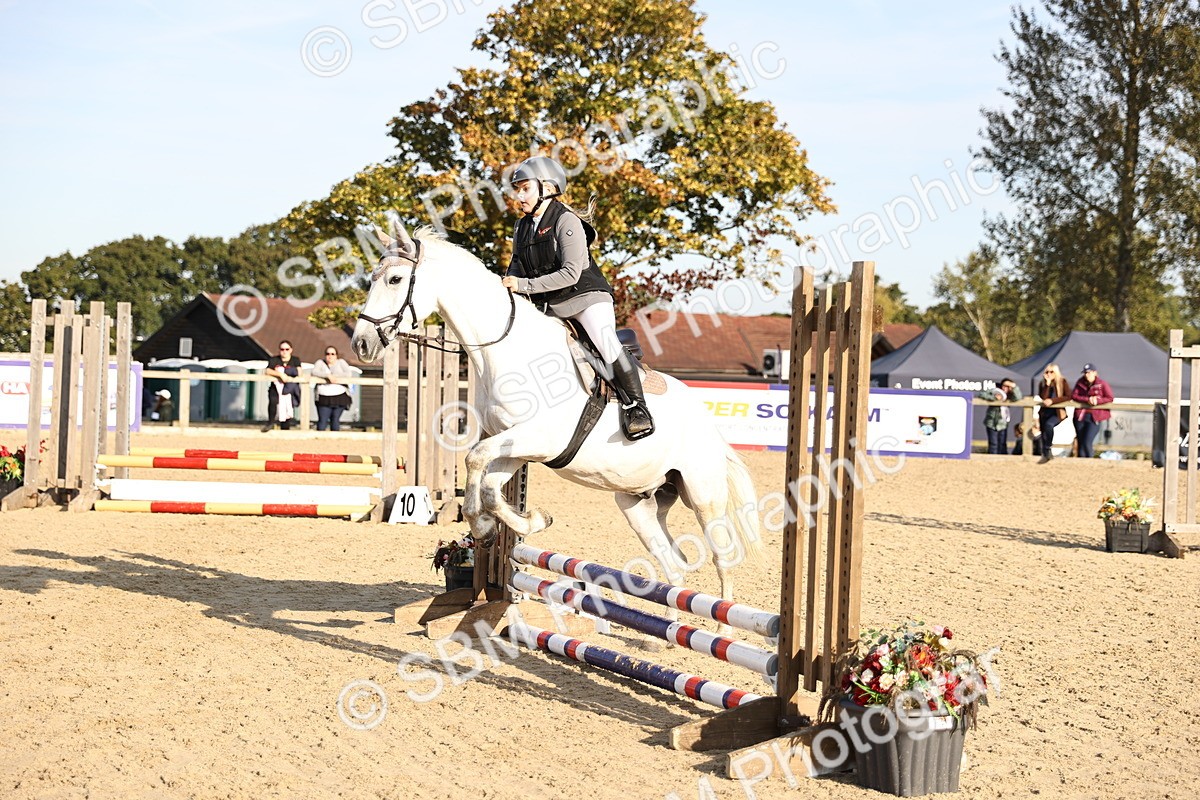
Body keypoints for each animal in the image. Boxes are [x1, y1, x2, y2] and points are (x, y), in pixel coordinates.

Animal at [351, 219, 762, 623]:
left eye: (395, 280)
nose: (361, 344)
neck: (508, 350)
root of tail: (710, 424)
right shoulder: (513, 444)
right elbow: (489, 487)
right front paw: (520, 523)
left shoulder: (540, 439)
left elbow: (474, 459)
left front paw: (493, 527)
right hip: (639, 501)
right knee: (674, 564)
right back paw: (665, 629)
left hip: (703, 494)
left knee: (722, 556)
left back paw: (722, 625)